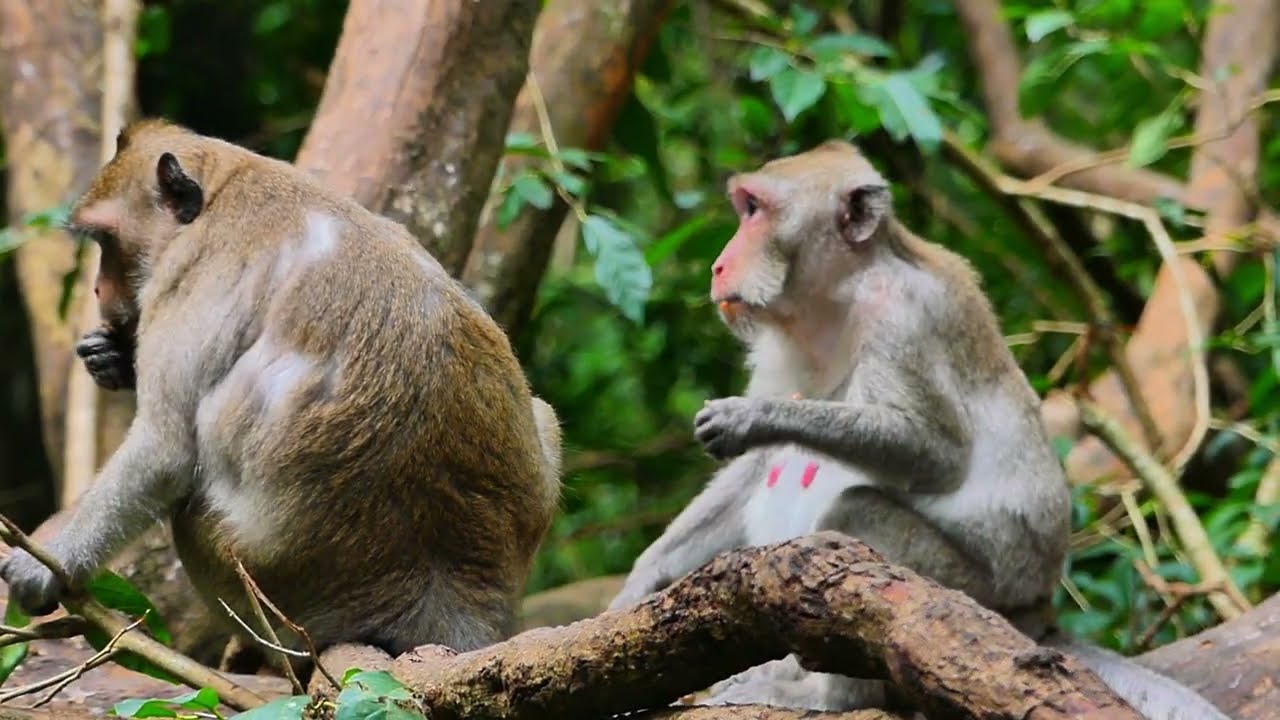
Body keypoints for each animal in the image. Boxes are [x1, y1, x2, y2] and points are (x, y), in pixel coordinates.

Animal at [0, 119, 563, 661]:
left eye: (105, 241)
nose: (98, 288)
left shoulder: (191, 280)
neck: (228, 185)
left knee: (189, 514)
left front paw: (46, 563)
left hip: (265, 580)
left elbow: (165, 447)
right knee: (543, 414)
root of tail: (456, 603)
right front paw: (111, 356)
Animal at [608, 141, 1231, 720]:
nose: (720, 264)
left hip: (972, 591)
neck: (838, 298)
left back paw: (832, 697)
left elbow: (934, 453)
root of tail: (1038, 615)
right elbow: (755, 467)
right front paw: (639, 584)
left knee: (855, 518)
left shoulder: (902, 317)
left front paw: (751, 418)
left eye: (755, 210)